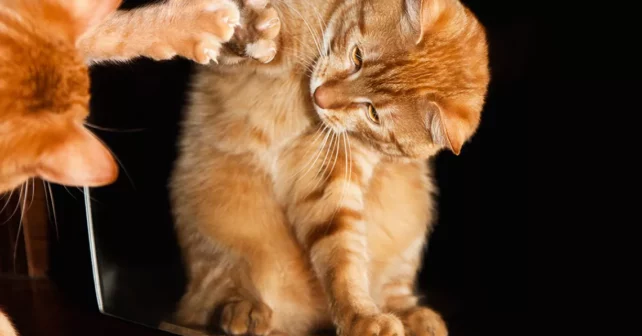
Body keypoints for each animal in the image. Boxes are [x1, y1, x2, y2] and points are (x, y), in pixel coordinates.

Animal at [168, 0, 488, 336]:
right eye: (358, 57)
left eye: (373, 113)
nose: (320, 97)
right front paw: (250, 30)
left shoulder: (330, 173)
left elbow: (342, 257)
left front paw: (360, 315)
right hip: (216, 230)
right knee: (217, 286)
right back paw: (242, 306)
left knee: (394, 291)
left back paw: (416, 317)